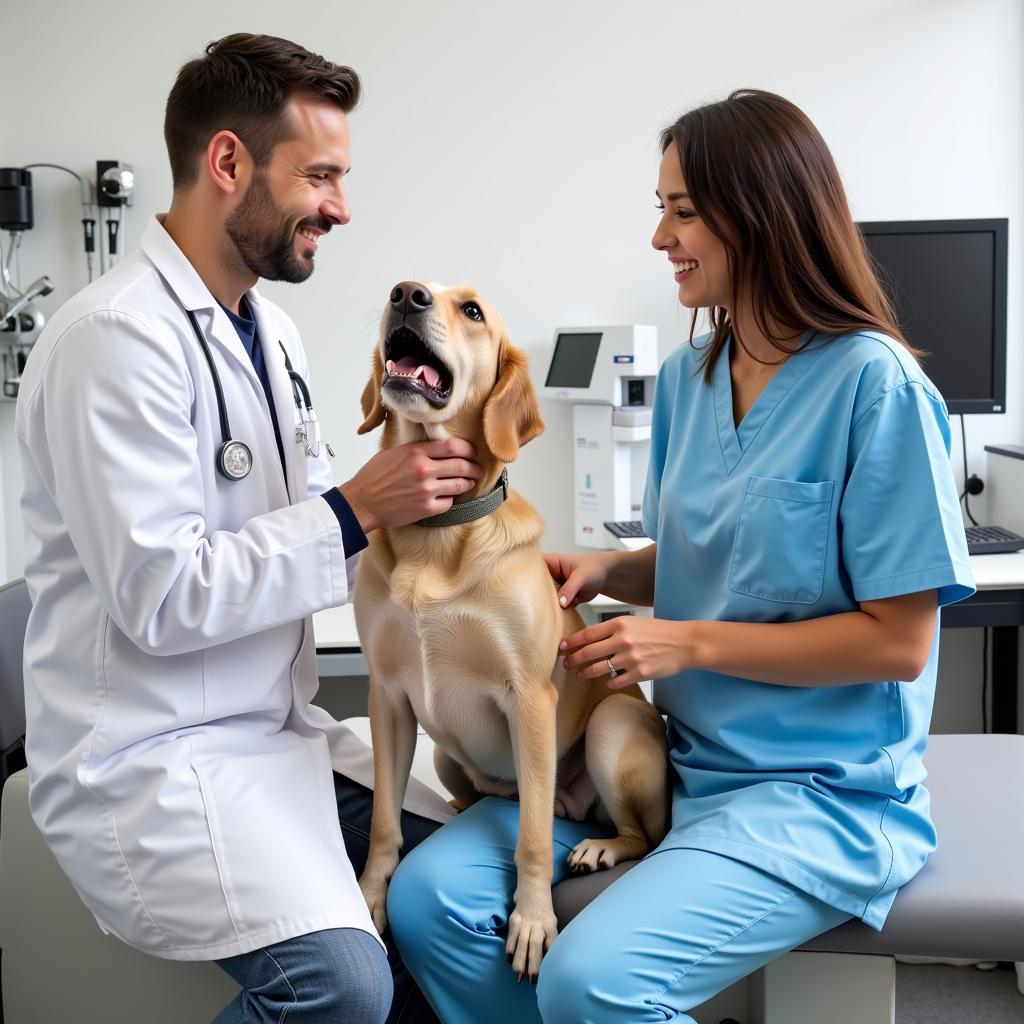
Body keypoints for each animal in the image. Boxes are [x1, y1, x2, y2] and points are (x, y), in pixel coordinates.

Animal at [356, 282, 667, 983]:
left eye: (472, 311)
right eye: (403, 290)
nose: (405, 295)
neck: (437, 530)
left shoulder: (529, 697)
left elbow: (529, 840)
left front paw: (531, 919)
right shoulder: (387, 699)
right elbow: (385, 823)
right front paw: (368, 897)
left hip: (610, 728)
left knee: (637, 835)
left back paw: (598, 846)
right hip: (445, 753)